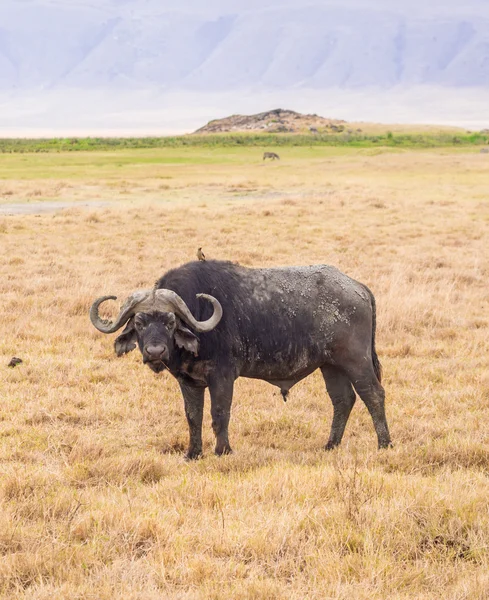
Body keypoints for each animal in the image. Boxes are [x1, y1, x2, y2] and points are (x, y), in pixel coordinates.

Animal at [89, 258, 390, 460]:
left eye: (170, 321)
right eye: (140, 322)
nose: (155, 352)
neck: (199, 315)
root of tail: (358, 287)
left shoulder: (222, 377)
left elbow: (219, 413)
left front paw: (223, 450)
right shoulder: (189, 382)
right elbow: (193, 417)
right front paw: (193, 453)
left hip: (356, 360)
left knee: (373, 394)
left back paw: (384, 444)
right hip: (330, 366)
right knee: (343, 400)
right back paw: (330, 445)